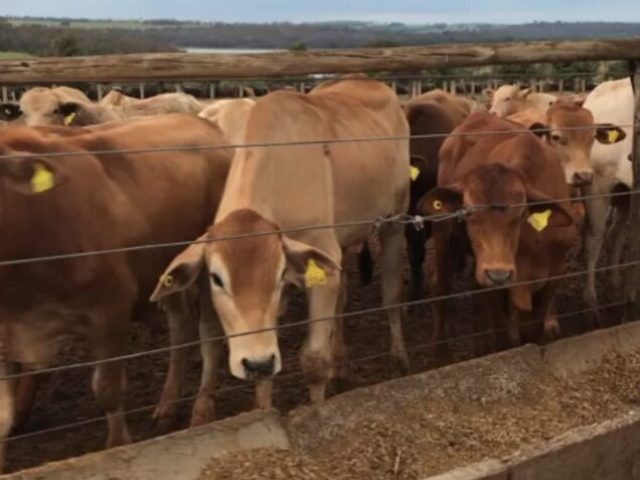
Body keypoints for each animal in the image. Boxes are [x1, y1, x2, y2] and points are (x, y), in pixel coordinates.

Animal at [0, 114, 232, 471]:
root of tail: (202, 121)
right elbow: (3, 416)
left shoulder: (110, 310)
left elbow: (107, 388)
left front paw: (118, 448)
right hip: (167, 271)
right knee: (180, 329)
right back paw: (166, 408)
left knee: (209, 333)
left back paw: (202, 411)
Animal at [149, 77, 410, 408]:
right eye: (216, 279)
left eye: (278, 274)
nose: (256, 362)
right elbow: (266, 378)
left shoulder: (319, 263)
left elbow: (314, 360)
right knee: (342, 298)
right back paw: (341, 365)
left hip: (394, 222)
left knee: (392, 292)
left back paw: (399, 357)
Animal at [418, 112, 578, 351]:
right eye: (468, 213)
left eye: (521, 214)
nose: (498, 273)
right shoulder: (494, 284)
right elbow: (503, 331)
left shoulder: (553, 273)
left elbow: (532, 329)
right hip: (443, 235)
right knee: (441, 285)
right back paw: (440, 348)